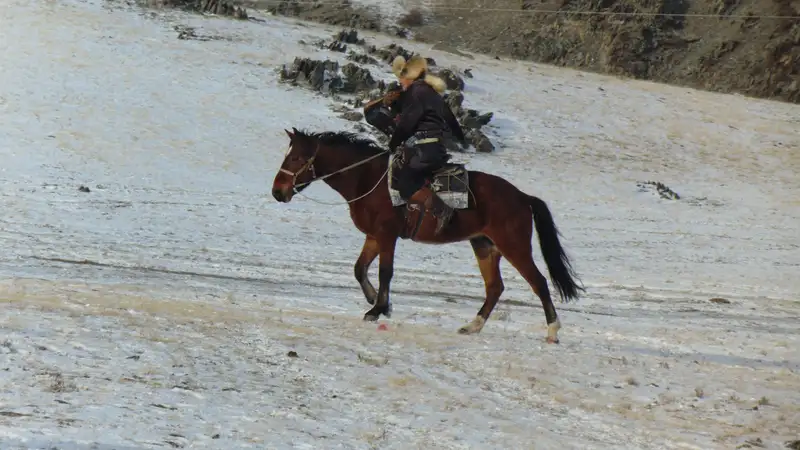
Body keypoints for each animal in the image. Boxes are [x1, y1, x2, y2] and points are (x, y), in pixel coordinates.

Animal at [272, 128, 584, 342]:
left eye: (297, 157)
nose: (277, 191)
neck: (368, 179)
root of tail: (522, 197)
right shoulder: (373, 236)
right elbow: (359, 269)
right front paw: (376, 301)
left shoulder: (386, 235)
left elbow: (385, 271)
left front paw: (378, 308)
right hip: (484, 245)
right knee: (495, 287)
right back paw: (472, 326)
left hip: (514, 246)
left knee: (539, 282)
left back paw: (552, 331)